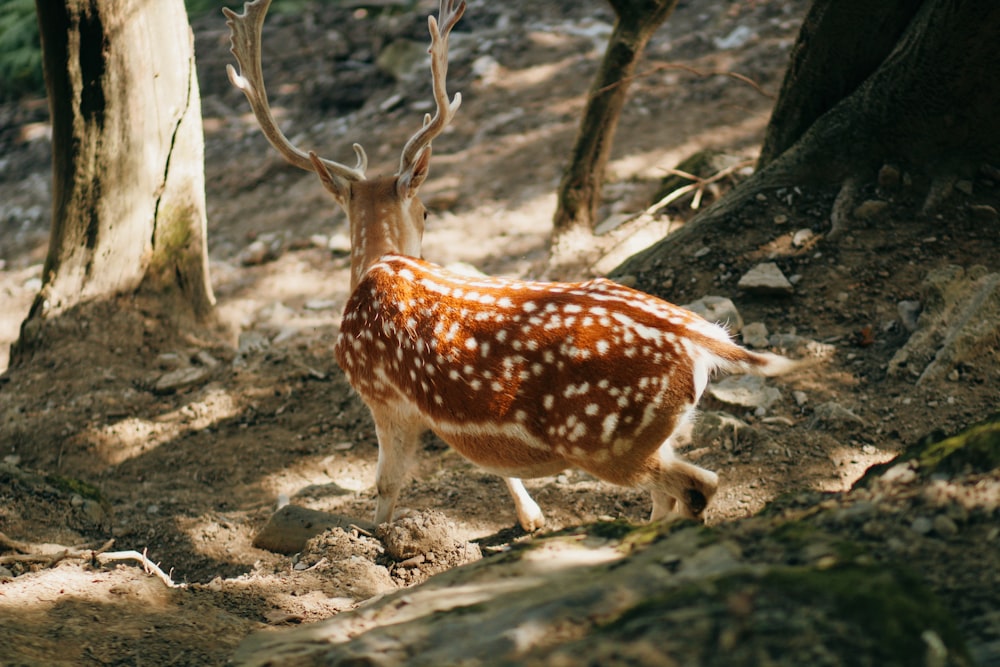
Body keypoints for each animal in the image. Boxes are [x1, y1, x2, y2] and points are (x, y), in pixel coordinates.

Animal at [223, 0, 800, 532]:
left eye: (426, 210)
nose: (427, 220)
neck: (378, 265)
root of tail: (704, 339)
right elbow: (497, 466)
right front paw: (531, 518)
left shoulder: (383, 395)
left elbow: (387, 484)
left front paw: (378, 544)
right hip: (657, 432)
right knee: (674, 490)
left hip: (609, 440)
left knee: (701, 484)